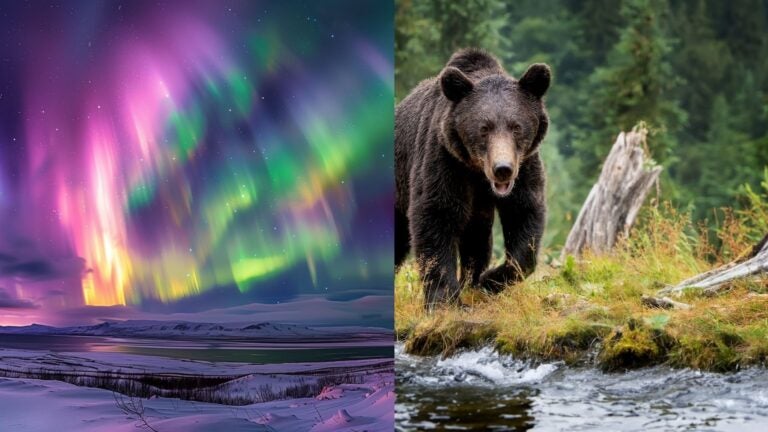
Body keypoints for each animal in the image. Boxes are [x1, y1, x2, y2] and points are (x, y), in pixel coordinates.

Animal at [395, 48, 550, 309]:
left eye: (516, 127)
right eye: (484, 128)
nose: (503, 169)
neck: (477, 172)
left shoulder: (524, 168)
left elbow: (524, 217)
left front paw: (488, 280)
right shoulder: (445, 161)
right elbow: (436, 216)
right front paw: (444, 300)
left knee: (477, 241)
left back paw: (471, 280)